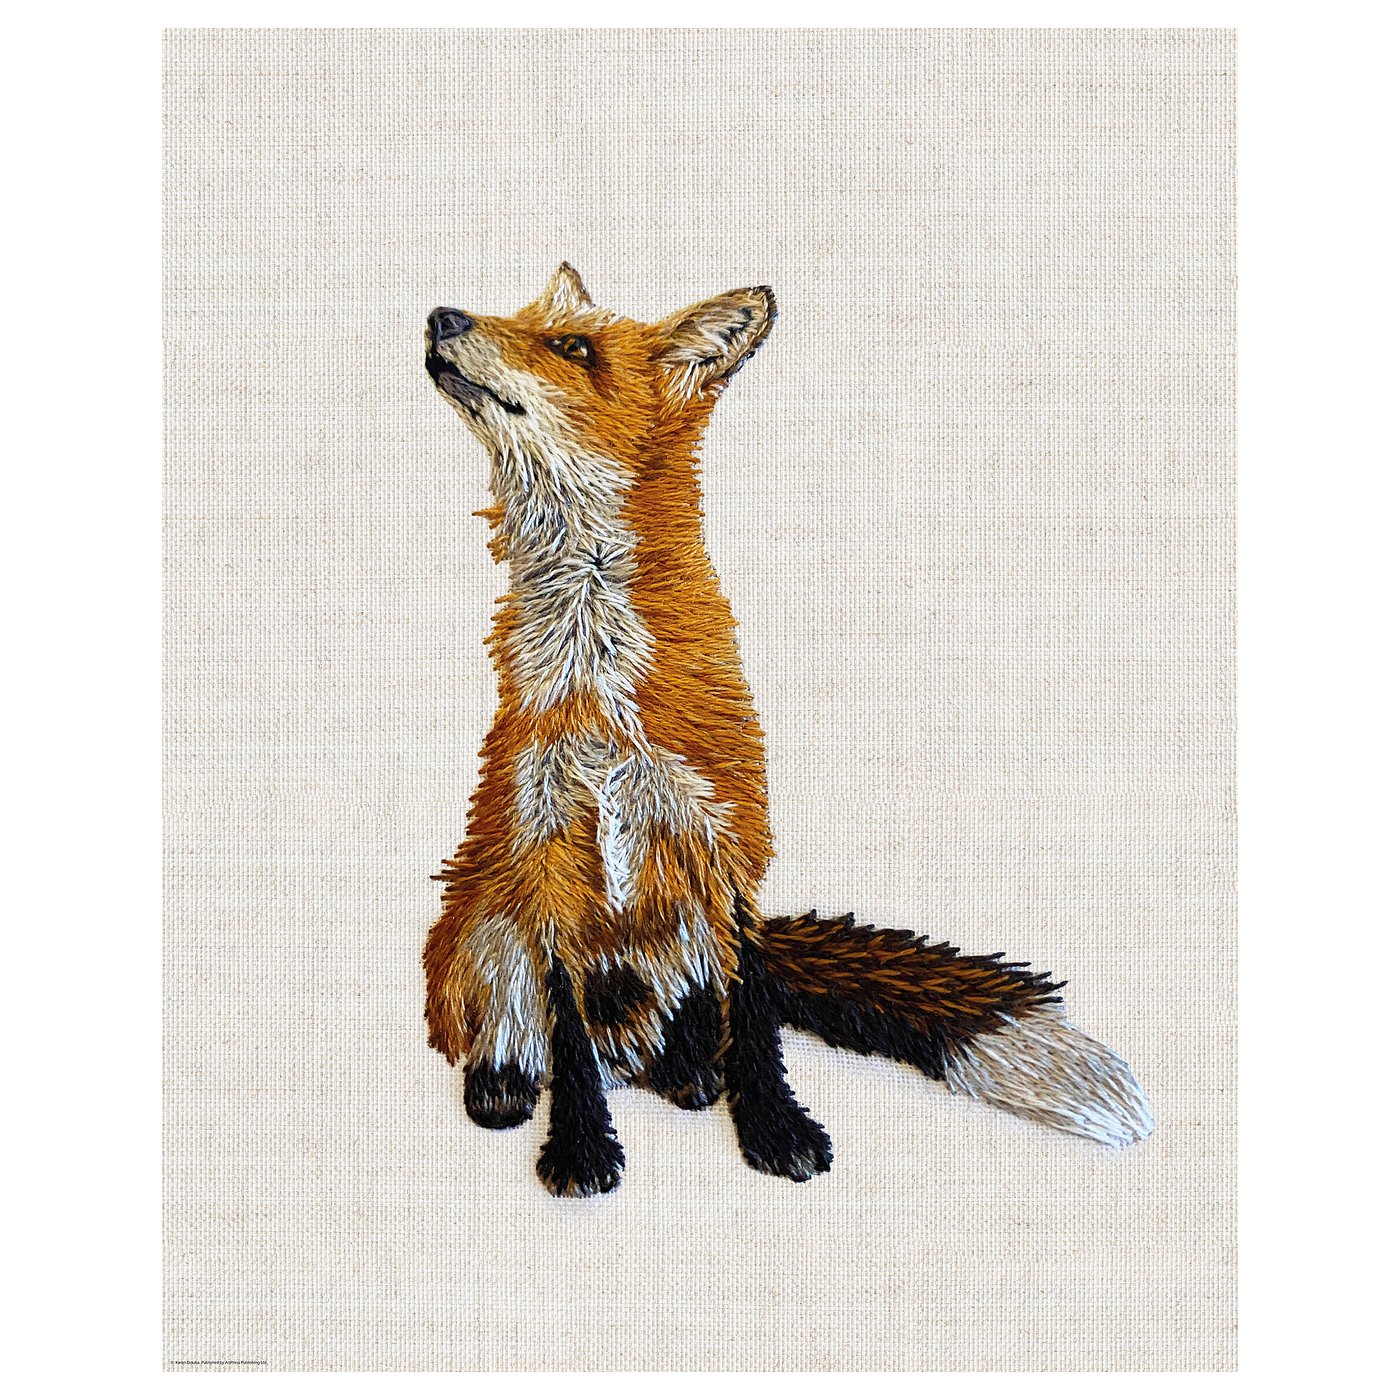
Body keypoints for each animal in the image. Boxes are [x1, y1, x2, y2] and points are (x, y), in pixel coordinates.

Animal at [422, 263, 1153, 1197]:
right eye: (521, 319)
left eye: (572, 346)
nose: (442, 317)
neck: (602, 673)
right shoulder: (547, 847)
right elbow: (568, 1035)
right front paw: (580, 1153)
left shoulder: (726, 843)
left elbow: (757, 1022)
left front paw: (776, 1132)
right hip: (482, 922)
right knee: (535, 1035)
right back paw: (506, 1084)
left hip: (677, 935)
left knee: (690, 1035)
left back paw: (689, 1080)